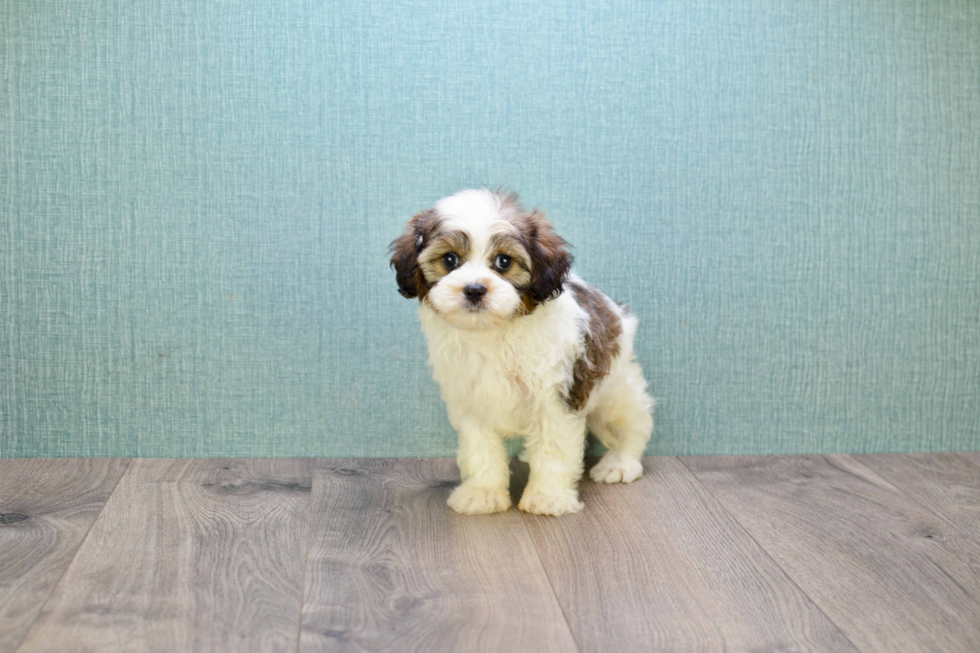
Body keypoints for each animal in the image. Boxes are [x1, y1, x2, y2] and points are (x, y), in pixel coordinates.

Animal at [388, 187, 652, 516]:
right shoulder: (472, 399)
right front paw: (483, 493)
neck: (495, 331)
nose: (474, 289)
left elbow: (553, 448)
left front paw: (548, 497)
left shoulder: (557, 396)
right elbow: (480, 449)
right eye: (450, 259)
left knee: (631, 424)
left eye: (504, 261)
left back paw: (620, 462)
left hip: (613, 388)